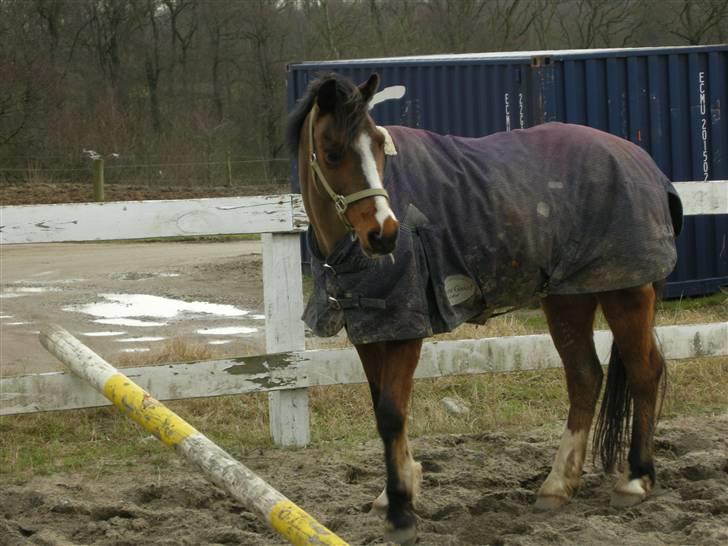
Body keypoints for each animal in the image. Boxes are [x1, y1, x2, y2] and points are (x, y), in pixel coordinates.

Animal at [286, 72, 683, 545]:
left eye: (380, 146)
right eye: (332, 153)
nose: (384, 234)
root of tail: (644, 162)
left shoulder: (405, 330)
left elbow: (391, 413)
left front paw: (400, 510)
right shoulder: (371, 328)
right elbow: (383, 407)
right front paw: (397, 489)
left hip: (626, 293)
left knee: (644, 372)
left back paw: (636, 479)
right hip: (568, 299)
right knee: (585, 377)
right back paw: (557, 486)